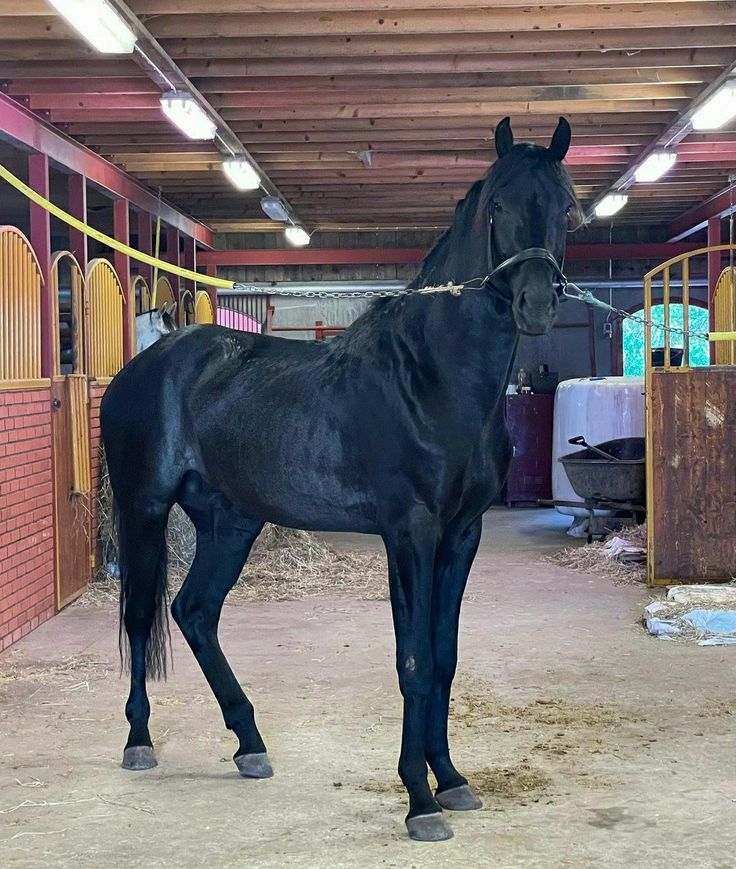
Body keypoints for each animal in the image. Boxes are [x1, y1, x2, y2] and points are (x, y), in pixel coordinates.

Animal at [102, 117, 576, 840]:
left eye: (566, 207)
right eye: (498, 205)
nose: (537, 302)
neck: (432, 377)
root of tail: (143, 365)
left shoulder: (461, 536)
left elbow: (444, 658)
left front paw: (452, 779)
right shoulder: (409, 534)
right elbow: (414, 663)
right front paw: (420, 800)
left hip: (231, 521)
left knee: (195, 611)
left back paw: (250, 744)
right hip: (145, 508)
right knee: (139, 615)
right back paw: (138, 741)